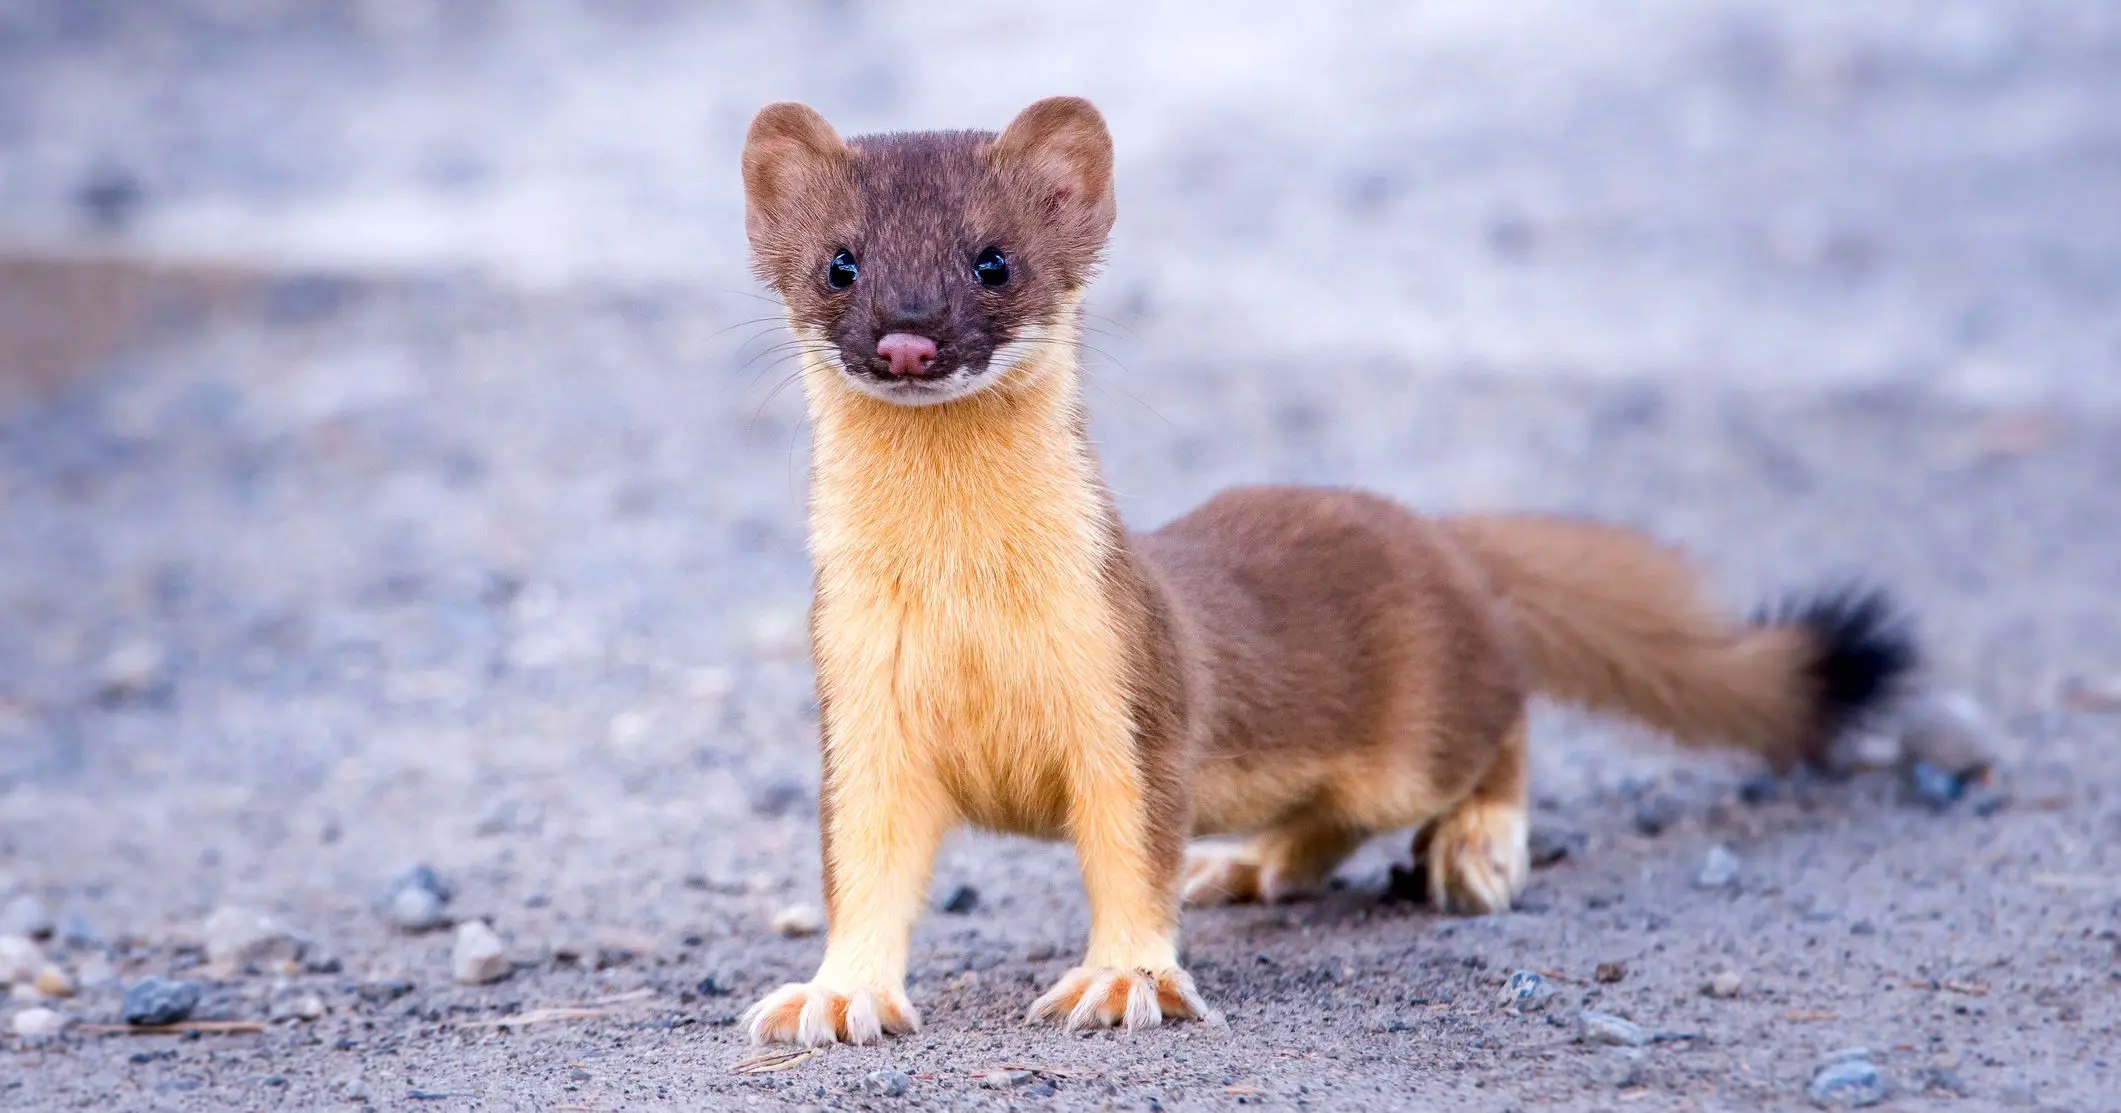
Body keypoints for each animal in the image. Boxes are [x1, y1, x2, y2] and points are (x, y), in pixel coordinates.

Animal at [738, 95, 1917, 1043]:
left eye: (993, 259)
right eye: (840, 261)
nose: (907, 338)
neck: (967, 609)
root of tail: (1434, 531)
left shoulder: (1131, 686)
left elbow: (1133, 848)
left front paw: (1121, 981)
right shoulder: (859, 707)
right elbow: (864, 866)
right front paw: (835, 997)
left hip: (1421, 726)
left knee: (1499, 723)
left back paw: (1478, 848)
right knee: (1333, 815)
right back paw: (1248, 864)